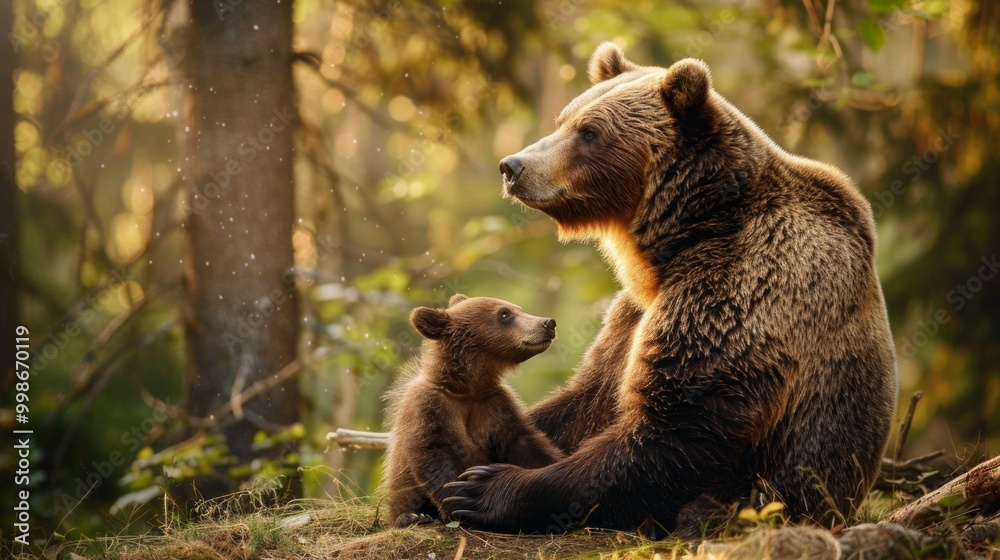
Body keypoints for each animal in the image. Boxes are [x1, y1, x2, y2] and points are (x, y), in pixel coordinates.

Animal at [383, 294, 565, 529]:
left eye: (519, 309)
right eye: (504, 314)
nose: (548, 323)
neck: (467, 389)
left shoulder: (495, 406)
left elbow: (527, 444)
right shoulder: (430, 406)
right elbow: (431, 453)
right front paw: (460, 501)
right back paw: (413, 516)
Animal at [441, 43, 898, 535]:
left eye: (590, 131)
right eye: (562, 120)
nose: (513, 166)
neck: (680, 239)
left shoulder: (739, 285)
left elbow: (675, 430)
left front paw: (486, 488)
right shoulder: (631, 313)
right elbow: (587, 398)